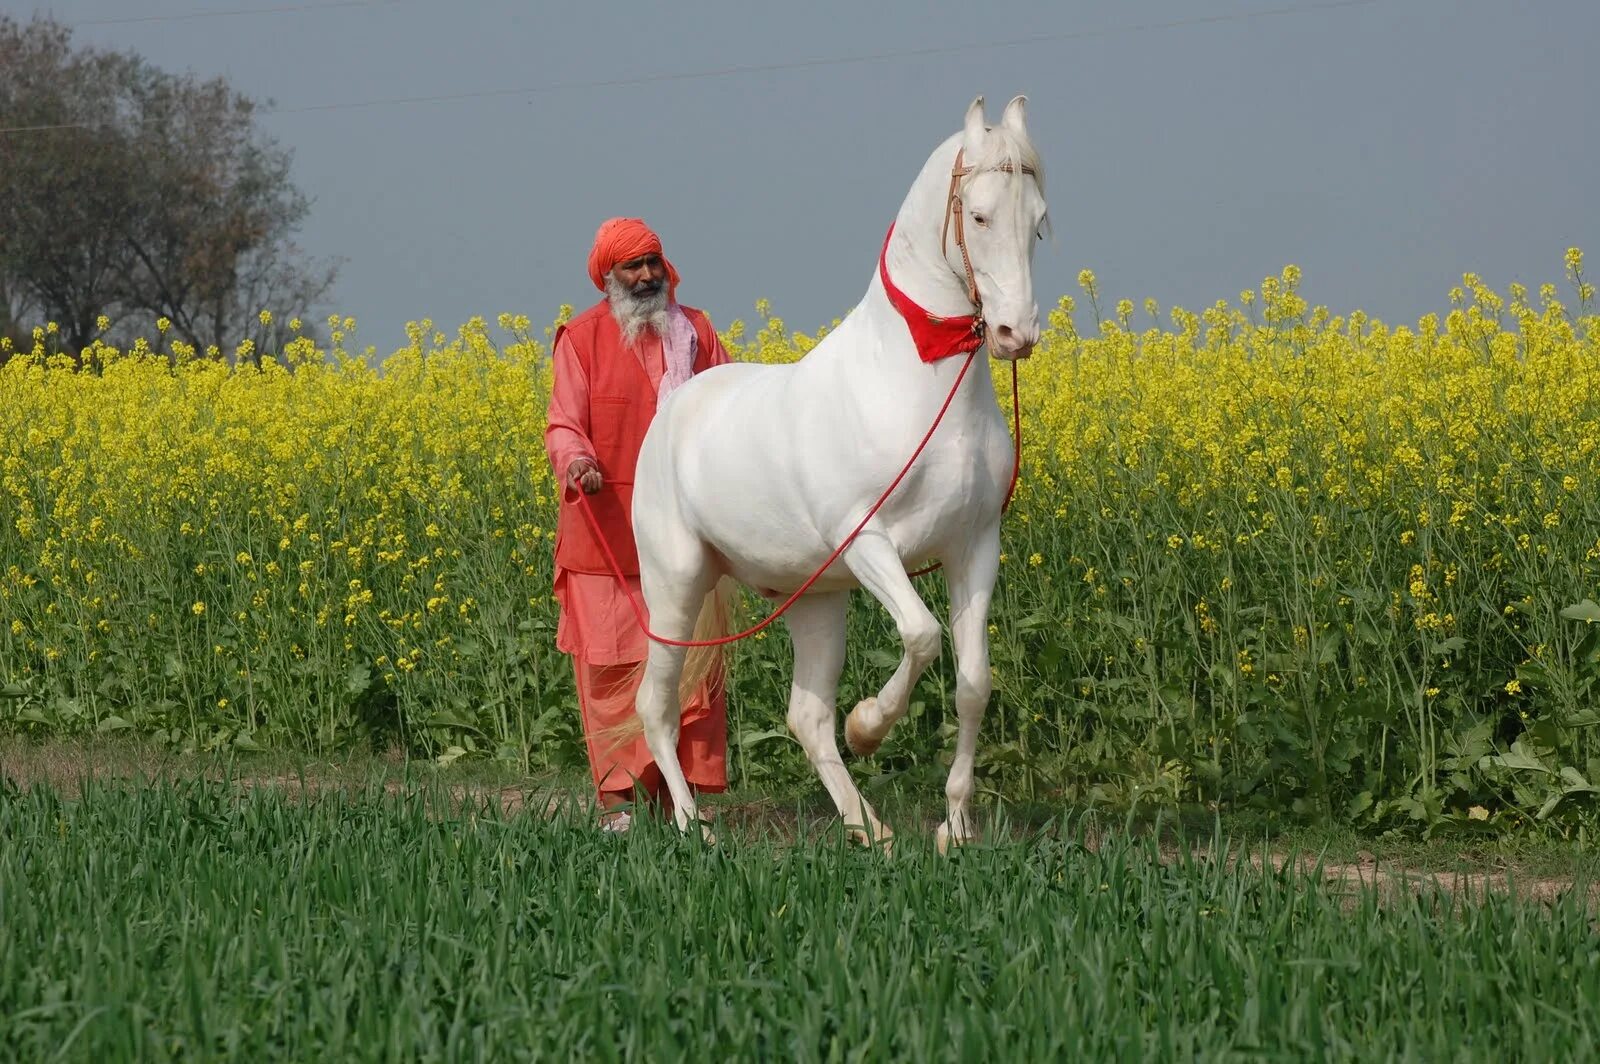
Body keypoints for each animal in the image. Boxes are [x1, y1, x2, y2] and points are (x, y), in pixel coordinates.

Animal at [624, 97, 1049, 844]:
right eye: (978, 217)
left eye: (1039, 221)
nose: (1014, 335)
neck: (913, 380)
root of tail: (674, 406)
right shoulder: (868, 542)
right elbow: (921, 635)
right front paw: (870, 728)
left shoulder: (974, 547)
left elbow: (973, 681)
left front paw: (954, 829)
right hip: (674, 584)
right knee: (657, 704)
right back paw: (693, 826)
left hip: (813, 600)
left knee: (805, 716)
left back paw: (869, 830)